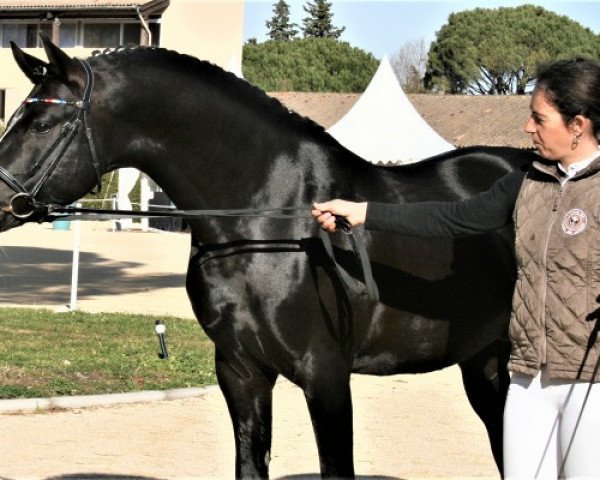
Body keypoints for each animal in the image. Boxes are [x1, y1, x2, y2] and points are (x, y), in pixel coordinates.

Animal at [0, 38, 536, 480]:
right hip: (486, 363)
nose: (1, 202)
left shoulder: (326, 376)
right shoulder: (242, 371)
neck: (270, 220)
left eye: (43, 124)